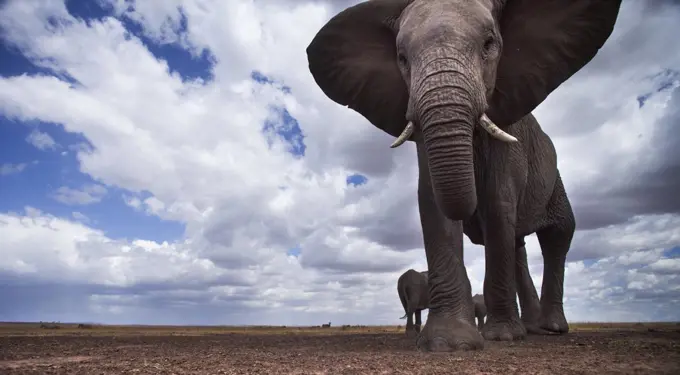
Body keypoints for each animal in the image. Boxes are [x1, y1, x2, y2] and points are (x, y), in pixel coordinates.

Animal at [308, 0, 620, 352]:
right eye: (402, 58)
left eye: (489, 44)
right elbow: (433, 204)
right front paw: (448, 343)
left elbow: (498, 202)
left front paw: (500, 337)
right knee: (518, 243)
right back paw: (529, 329)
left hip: (554, 180)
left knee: (558, 233)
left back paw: (549, 329)